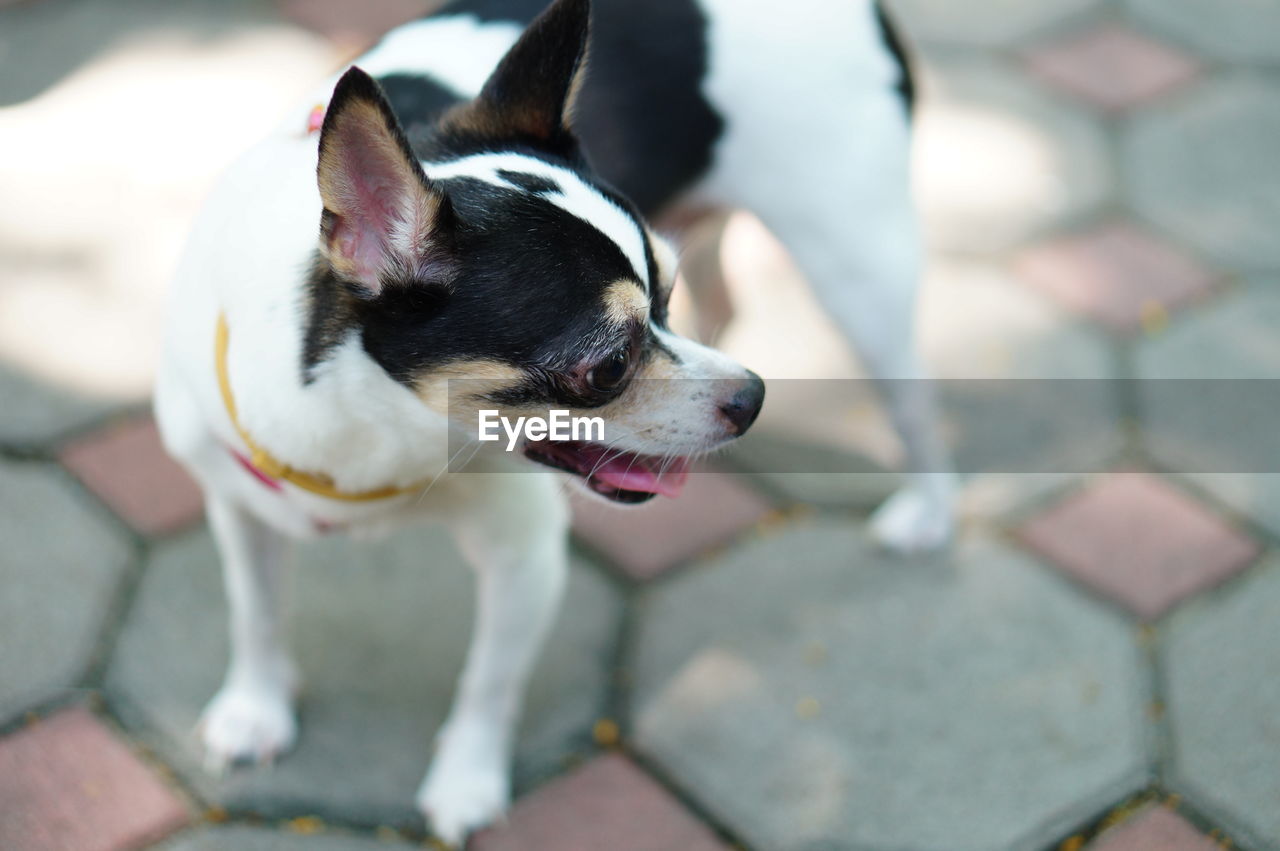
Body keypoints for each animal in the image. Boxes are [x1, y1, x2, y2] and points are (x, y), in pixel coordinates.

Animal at [149, 0, 952, 839]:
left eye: (660, 302)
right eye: (607, 366)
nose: (751, 397)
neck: (383, 438)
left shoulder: (524, 559)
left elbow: (488, 681)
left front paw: (465, 782)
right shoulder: (241, 510)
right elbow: (256, 612)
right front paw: (256, 708)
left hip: (858, 267)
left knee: (915, 401)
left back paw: (927, 512)